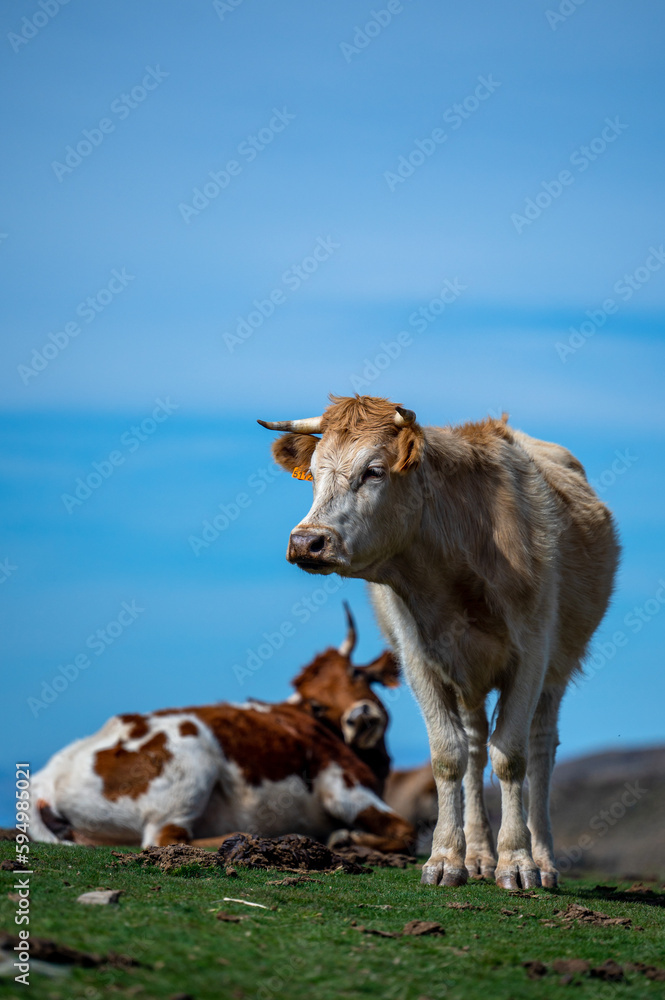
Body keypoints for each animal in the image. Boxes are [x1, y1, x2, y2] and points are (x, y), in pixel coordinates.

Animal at [29, 606, 414, 854]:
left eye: (356, 674)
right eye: (316, 703)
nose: (360, 717)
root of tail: (48, 774)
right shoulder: (343, 787)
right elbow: (406, 832)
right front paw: (346, 838)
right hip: (191, 759)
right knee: (163, 839)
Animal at [258, 394, 620, 889]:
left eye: (374, 470)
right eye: (312, 473)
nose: (307, 542)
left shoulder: (531, 656)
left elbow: (512, 754)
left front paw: (518, 862)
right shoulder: (419, 661)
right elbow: (449, 755)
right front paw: (448, 858)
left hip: (558, 667)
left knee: (541, 748)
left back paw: (543, 860)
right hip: (468, 677)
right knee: (474, 745)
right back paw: (479, 857)